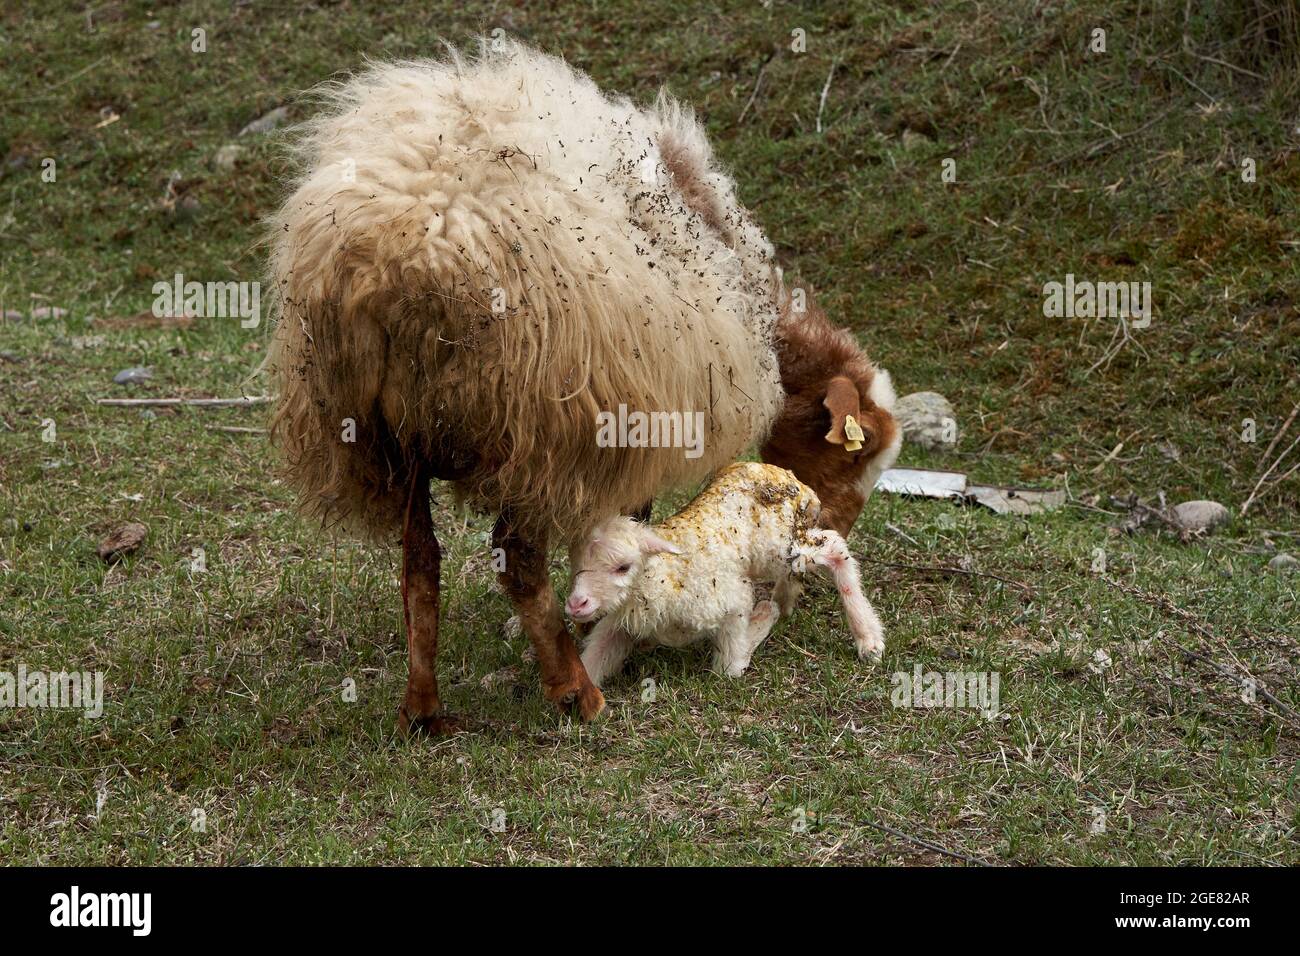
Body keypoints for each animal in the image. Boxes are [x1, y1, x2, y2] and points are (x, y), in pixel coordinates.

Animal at [565, 462, 886, 686]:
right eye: (576, 565)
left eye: (623, 567)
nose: (576, 604)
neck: (665, 575)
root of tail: (793, 479)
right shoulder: (620, 623)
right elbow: (594, 659)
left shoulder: (731, 602)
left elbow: (729, 668)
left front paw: (763, 617)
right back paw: (785, 599)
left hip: (779, 545)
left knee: (834, 547)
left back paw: (868, 638)